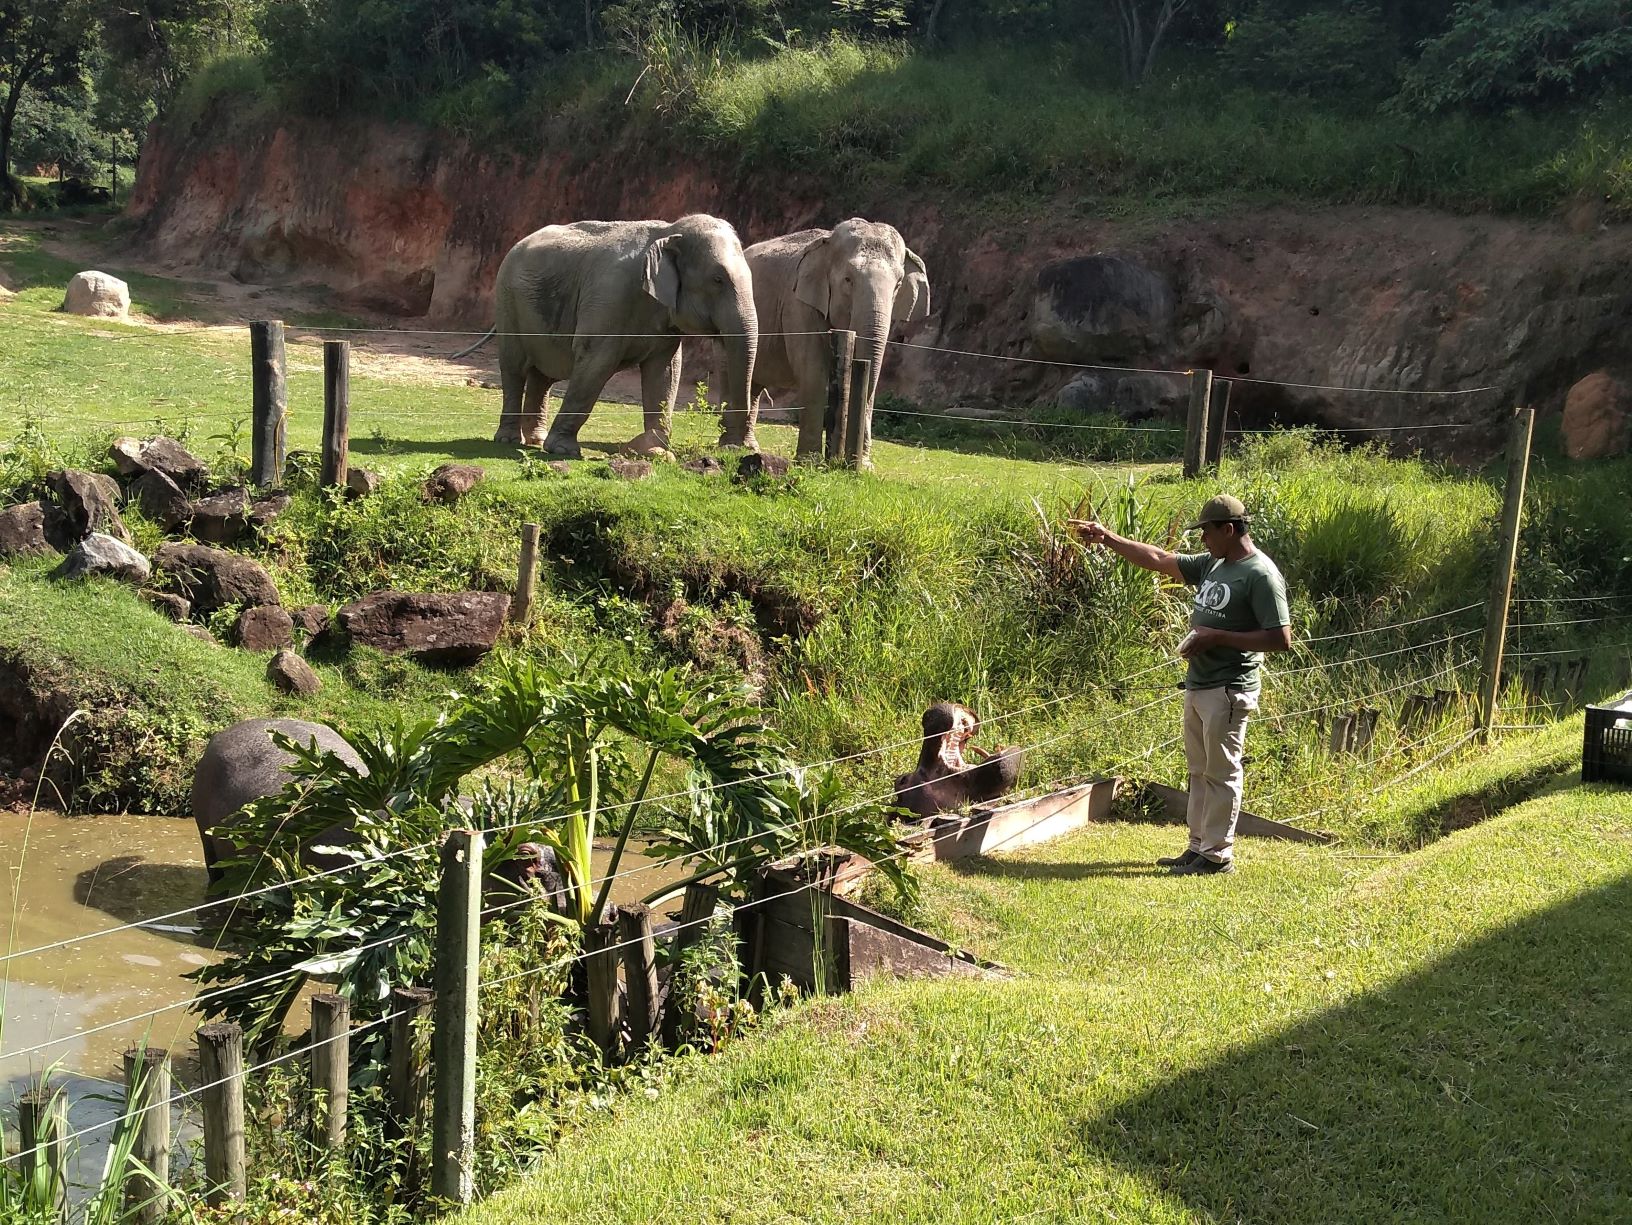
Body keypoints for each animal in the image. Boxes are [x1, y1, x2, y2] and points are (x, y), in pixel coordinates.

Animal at [479, 213, 753, 456]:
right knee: (515, 368)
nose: (735, 448)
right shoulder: (608, 297)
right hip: (507, 303)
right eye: (717, 280)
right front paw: (563, 450)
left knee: (543, 375)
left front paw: (653, 451)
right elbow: (596, 363)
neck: (668, 231)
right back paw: (509, 439)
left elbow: (665, 372)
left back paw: (535, 440)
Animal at [740, 218, 933, 463]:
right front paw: (809, 462)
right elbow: (812, 371)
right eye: (848, 280)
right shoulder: (798, 304)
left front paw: (862, 465)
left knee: (754, 382)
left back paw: (747, 447)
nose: (850, 459)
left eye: (898, 285)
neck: (828, 242)